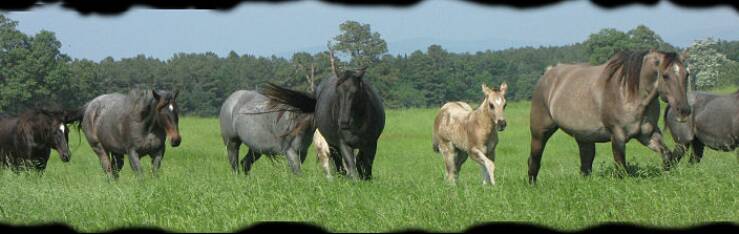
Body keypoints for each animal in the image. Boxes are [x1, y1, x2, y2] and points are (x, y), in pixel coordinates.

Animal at [260, 50, 388, 179]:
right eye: (337, 91)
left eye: (356, 92)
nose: (343, 122)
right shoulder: (344, 144)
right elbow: (352, 168)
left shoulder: (371, 144)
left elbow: (366, 165)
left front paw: (366, 179)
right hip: (331, 144)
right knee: (338, 162)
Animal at [528, 49, 692, 184]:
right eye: (665, 75)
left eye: (687, 74)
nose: (684, 111)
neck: (629, 93)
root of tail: (548, 74)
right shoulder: (617, 136)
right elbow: (621, 168)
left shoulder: (647, 135)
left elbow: (667, 155)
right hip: (540, 133)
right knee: (534, 160)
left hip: (584, 138)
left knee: (585, 165)